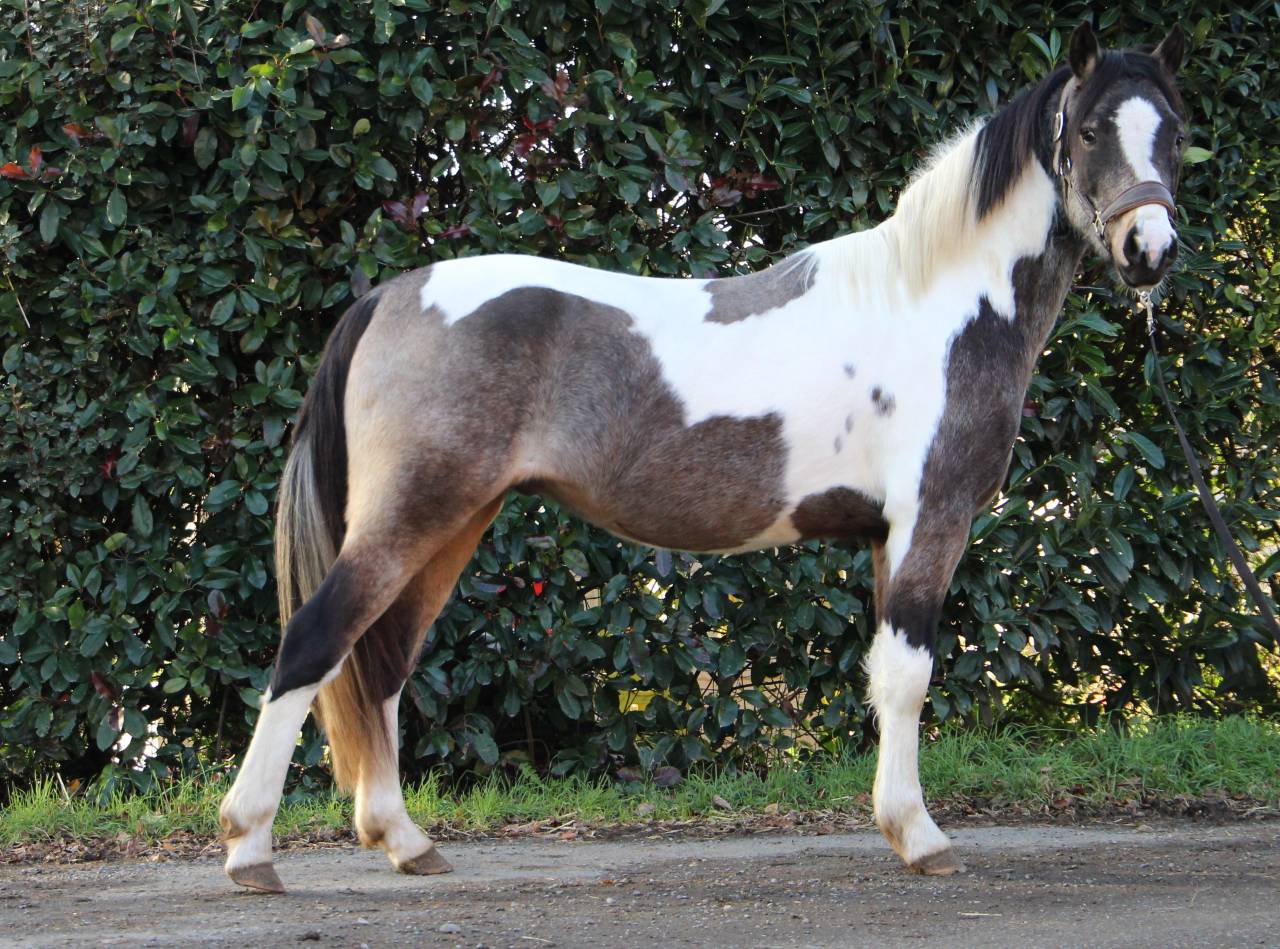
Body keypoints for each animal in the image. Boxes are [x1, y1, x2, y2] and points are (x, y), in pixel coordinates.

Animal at [218, 23, 1188, 892]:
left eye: (1174, 131)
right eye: (1089, 131)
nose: (1150, 251)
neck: (940, 304)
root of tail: (389, 294)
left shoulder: (888, 535)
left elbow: (884, 679)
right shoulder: (930, 521)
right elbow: (910, 677)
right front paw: (919, 835)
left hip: (452, 523)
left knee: (379, 663)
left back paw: (404, 840)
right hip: (412, 513)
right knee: (314, 643)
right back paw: (250, 847)